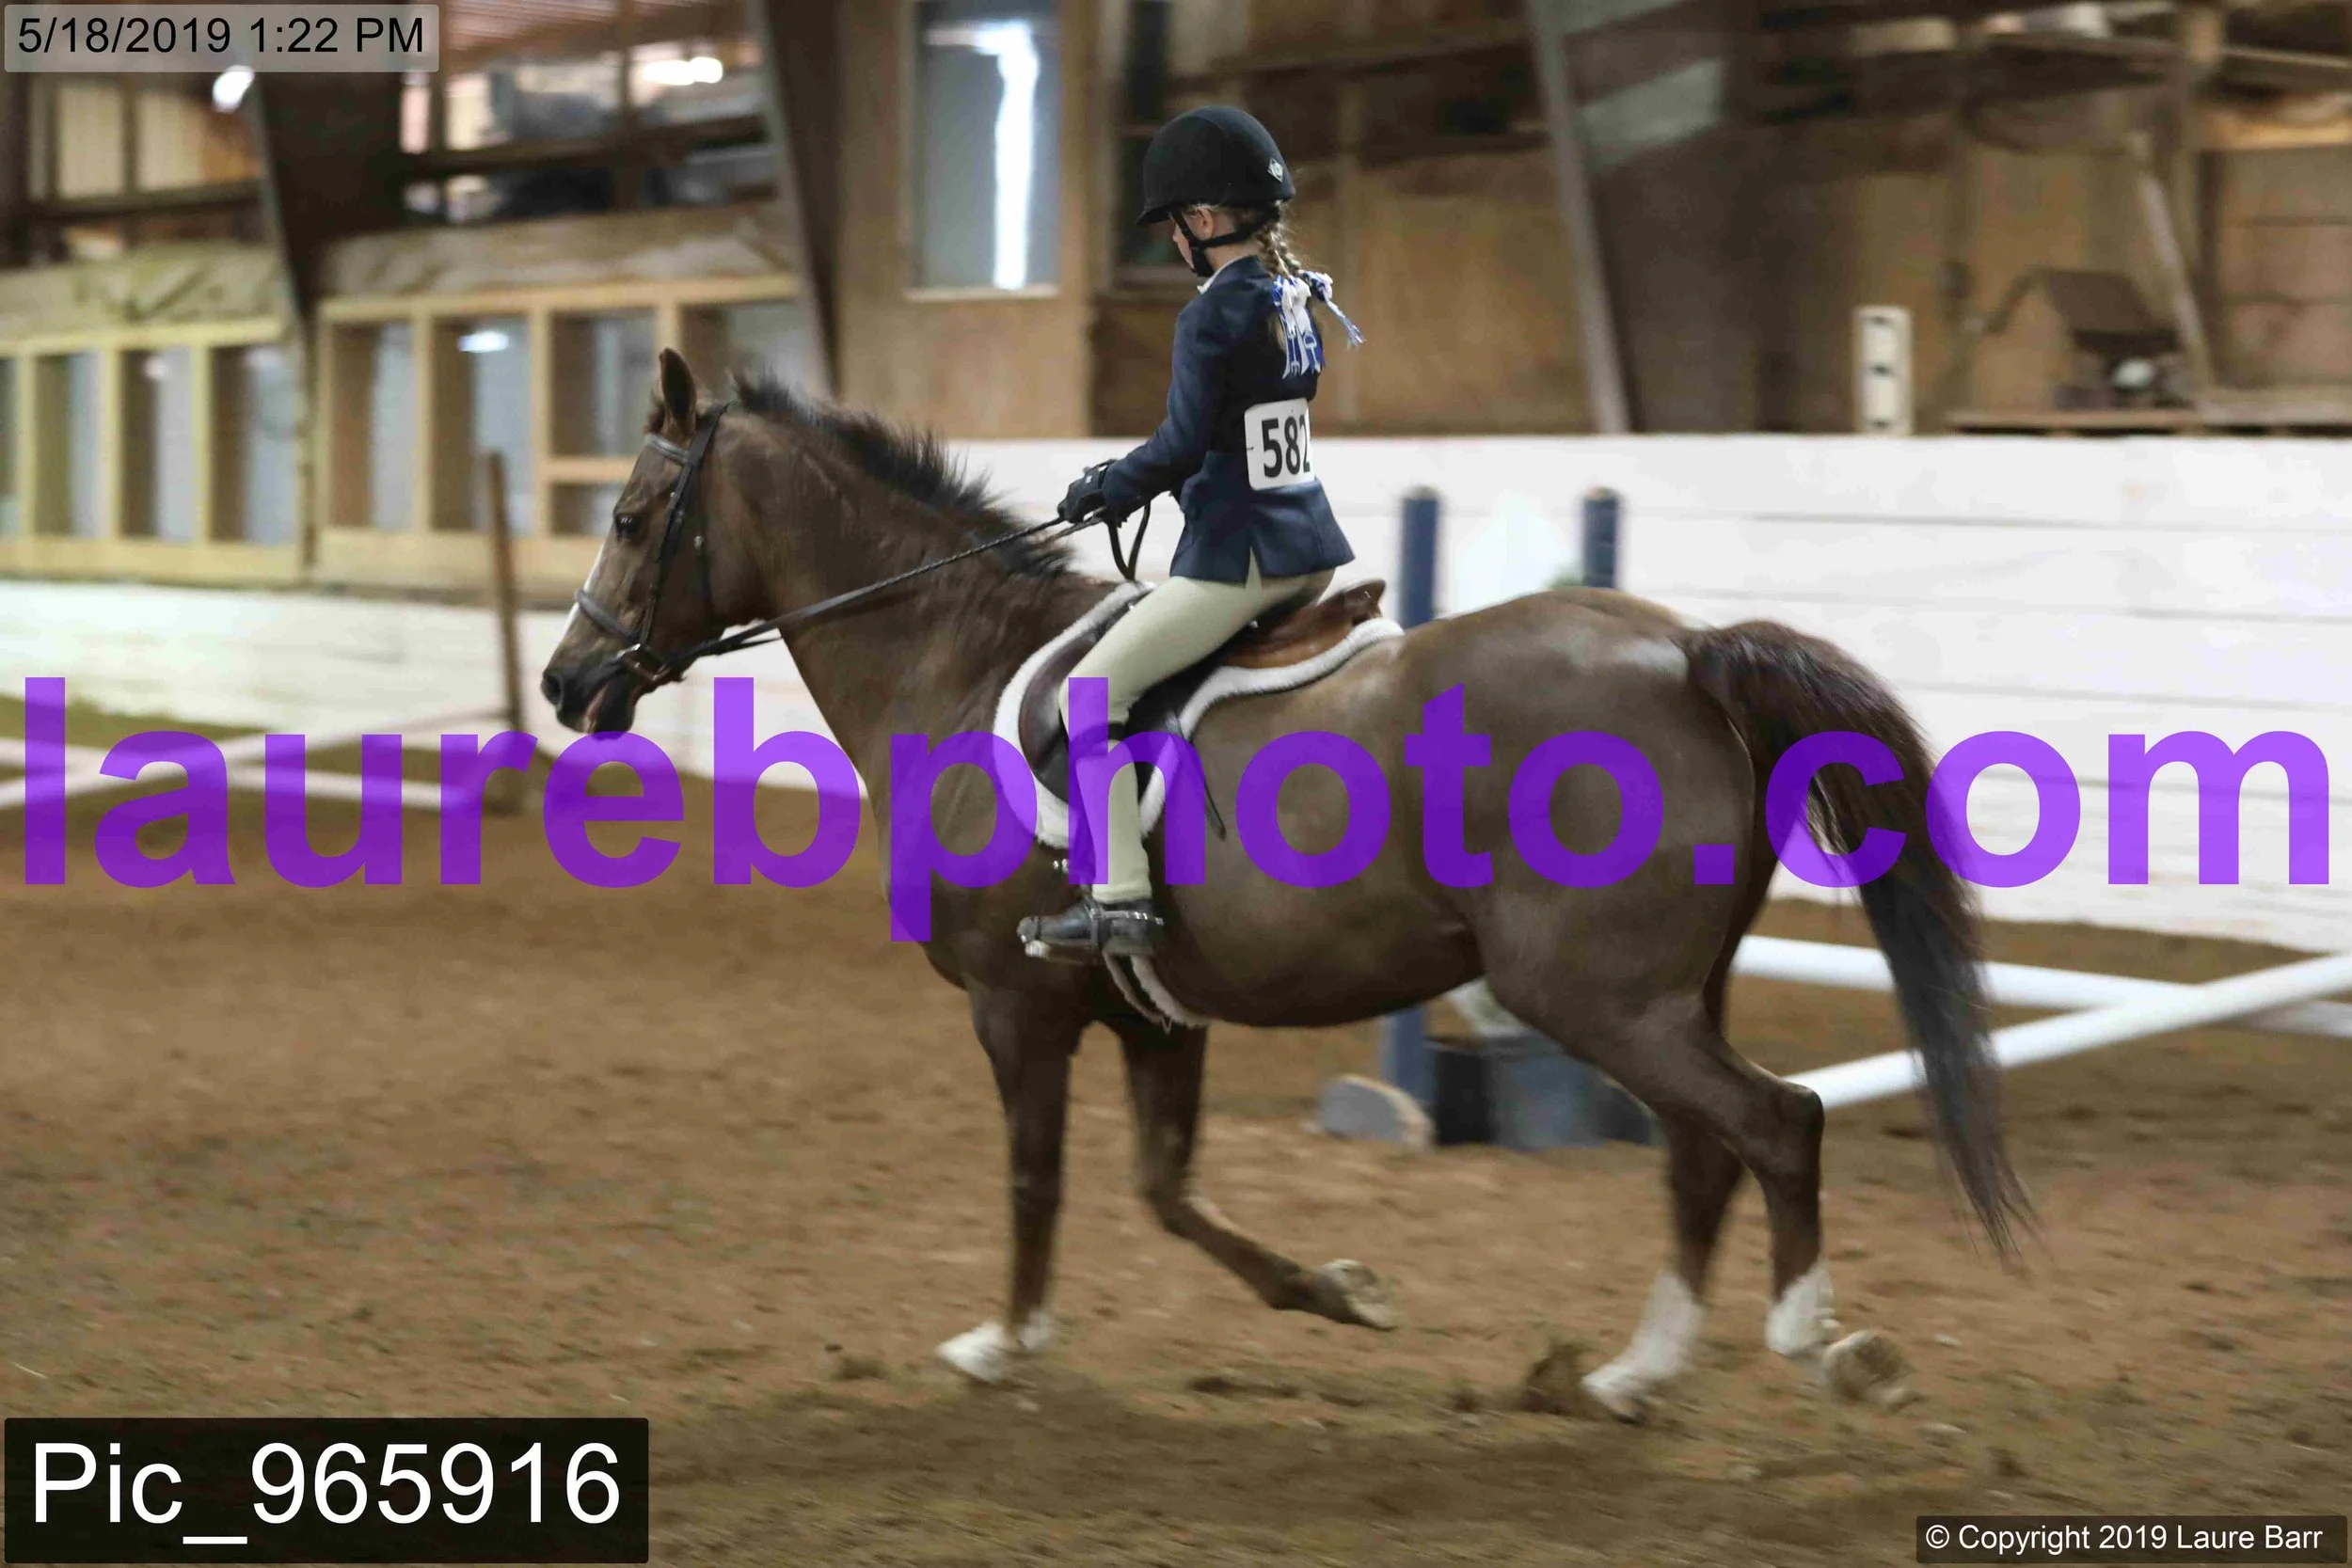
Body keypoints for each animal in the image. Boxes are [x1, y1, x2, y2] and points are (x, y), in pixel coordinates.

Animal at [539, 350, 2027, 1419]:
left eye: (630, 516)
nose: (565, 683)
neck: (952, 669)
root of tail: (1686, 651)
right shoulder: (1152, 1008)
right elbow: (1166, 1189)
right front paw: (1343, 1291)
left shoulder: (1018, 1003)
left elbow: (1037, 1175)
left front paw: (1000, 1342)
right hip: (1664, 994)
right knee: (1705, 1152)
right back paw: (1630, 1372)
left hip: (1597, 995)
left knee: (1776, 1124)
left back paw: (1821, 1345)